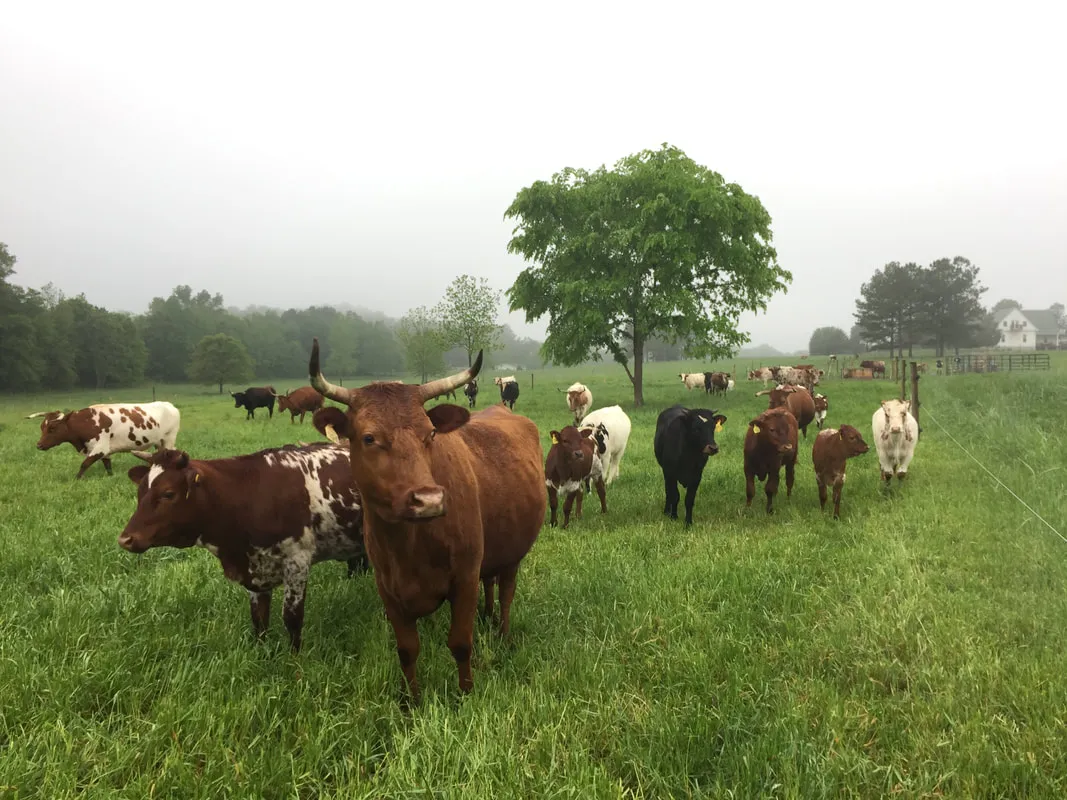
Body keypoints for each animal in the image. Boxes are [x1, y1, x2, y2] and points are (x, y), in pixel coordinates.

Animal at [29, 401, 181, 479]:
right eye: (42, 427)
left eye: (52, 428)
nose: (39, 445)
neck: (86, 422)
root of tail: (170, 405)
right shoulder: (105, 451)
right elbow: (108, 465)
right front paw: (110, 476)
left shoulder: (99, 448)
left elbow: (84, 464)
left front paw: (76, 479)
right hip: (159, 443)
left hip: (169, 439)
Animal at [117, 444, 368, 652]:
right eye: (140, 492)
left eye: (168, 493)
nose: (125, 539)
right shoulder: (254, 568)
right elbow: (259, 619)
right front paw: (262, 654)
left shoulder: (297, 562)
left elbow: (292, 618)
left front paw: (295, 658)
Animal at [308, 340, 546, 702]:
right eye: (368, 438)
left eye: (431, 433)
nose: (429, 500)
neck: (409, 543)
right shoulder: (387, 589)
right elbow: (407, 650)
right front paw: (411, 700)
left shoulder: (464, 578)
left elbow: (460, 643)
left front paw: (465, 694)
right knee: (490, 583)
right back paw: (487, 616)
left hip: (513, 555)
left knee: (506, 593)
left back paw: (502, 634)